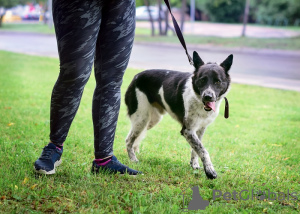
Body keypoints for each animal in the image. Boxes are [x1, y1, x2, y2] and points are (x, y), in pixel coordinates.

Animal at [124, 51, 232, 179]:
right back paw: (133, 159)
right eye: (202, 80)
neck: (198, 100)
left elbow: (196, 149)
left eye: (217, 82)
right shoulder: (187, 130)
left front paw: (194, 165)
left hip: (152, 120)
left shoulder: (200, 129)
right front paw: (210, 171)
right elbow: (203, 150)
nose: (208, 97)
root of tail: (136, 77)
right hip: (141, 118)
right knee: (128, 140)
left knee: (136, 137)